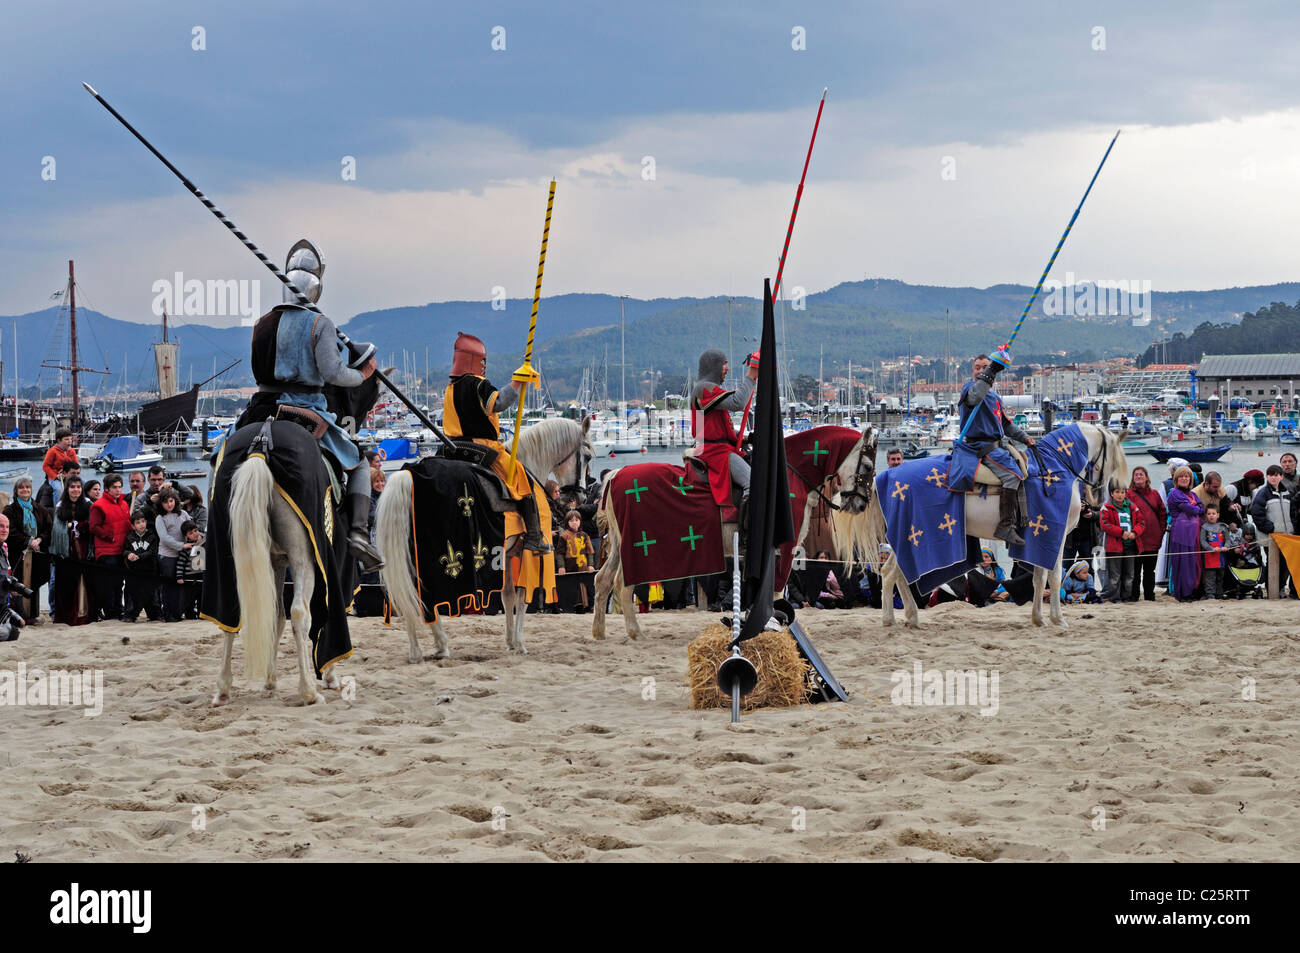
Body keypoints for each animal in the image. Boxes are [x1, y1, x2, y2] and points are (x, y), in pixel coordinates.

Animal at [377, 416, 595, 660]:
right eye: (587, 456)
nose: (580, 496)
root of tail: (410, 475)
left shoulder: (507, 554)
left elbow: (507, 596)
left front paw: (510, 642)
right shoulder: (526, 553)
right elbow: (521, 599)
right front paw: (519, 643)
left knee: (410, 596)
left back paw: (421, 648)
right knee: (426, 596)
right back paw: (438, 645)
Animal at [592, 423, 878, 639]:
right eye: (867, 467)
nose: (861, 504)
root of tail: (616, 475)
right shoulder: (785, 548)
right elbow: (776, 589)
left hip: (619, 544)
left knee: (604, 580)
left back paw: (600, 632)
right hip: (639, 549)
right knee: (622, 585)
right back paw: (634, 632)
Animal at [863, 421, 1128, 629]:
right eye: (1112, 462)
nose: (1099, 498)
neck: (1054, 468)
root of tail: (886, 477)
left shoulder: (1040, 541)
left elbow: (1038, 579)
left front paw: (1039, 619)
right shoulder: (1055, 535)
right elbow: (1053, 577)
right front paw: (1058, 619)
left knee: (895, 573)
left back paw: (908, 617)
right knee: (891, 573)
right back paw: (892, 619)